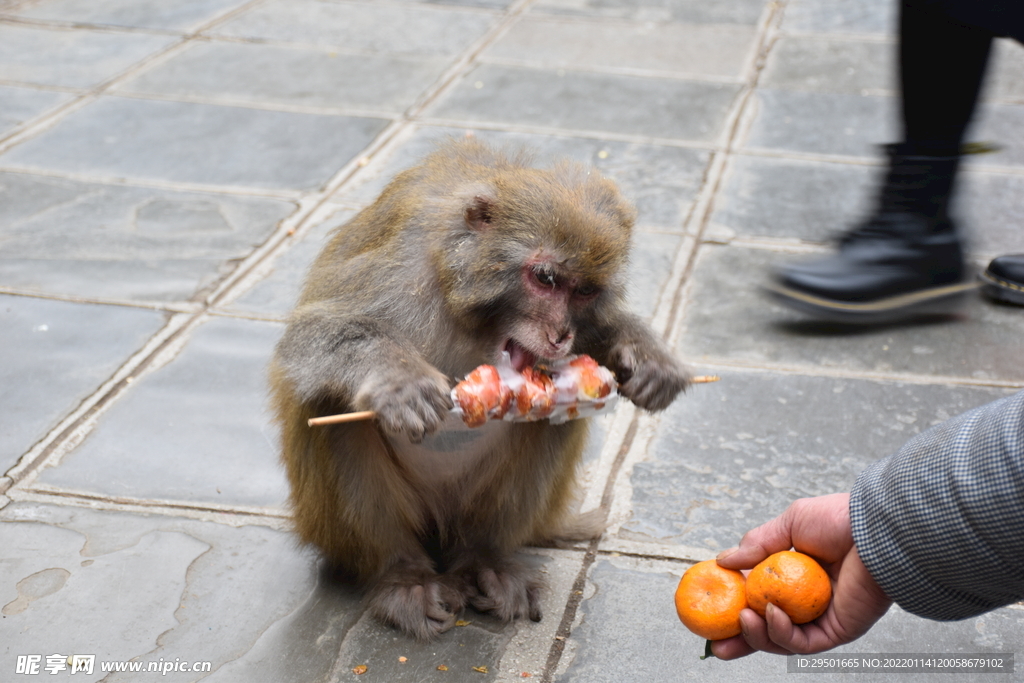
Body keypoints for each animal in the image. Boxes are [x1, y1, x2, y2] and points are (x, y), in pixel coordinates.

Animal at [268, 137, 692, 643]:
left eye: (585, 291)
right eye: (545, 278)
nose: (560, 336)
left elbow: (597, 339)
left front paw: (645, 354)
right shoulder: (399, 273)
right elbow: (309, 336)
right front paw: (400, 382)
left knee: (550, 421)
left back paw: (484, 559)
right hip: (332, 525)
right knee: (330, 406)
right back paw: (403, 575)